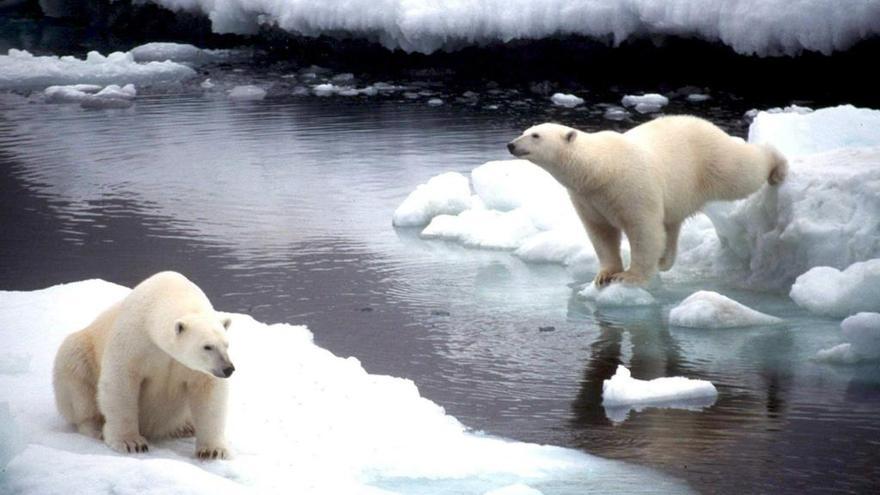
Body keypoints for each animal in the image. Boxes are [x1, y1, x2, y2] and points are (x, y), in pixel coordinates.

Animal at [53, 272, 235, 462]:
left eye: (226, 344)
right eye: (207, 346)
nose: (228, 368)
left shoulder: (195, 368)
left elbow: (209, 392)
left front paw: (213, 451)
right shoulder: (134, 340)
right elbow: (121, 382)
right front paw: (131, 443)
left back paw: (185, 427)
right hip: (80, 353)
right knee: (77, 381)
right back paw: (96, 428)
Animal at [506, 116, 788, 286]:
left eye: (536, 135)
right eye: (525, 131)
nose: (511, 144)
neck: (599, 169)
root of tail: (708, 125)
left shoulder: (631, 187)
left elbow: (643, 229)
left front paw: (629, 276)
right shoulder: (587, 197)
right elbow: (601, 232)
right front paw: (604, 275)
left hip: (710, 161)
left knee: (741, 172)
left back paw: (777, 166)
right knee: (672, 224)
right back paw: (665, 261)